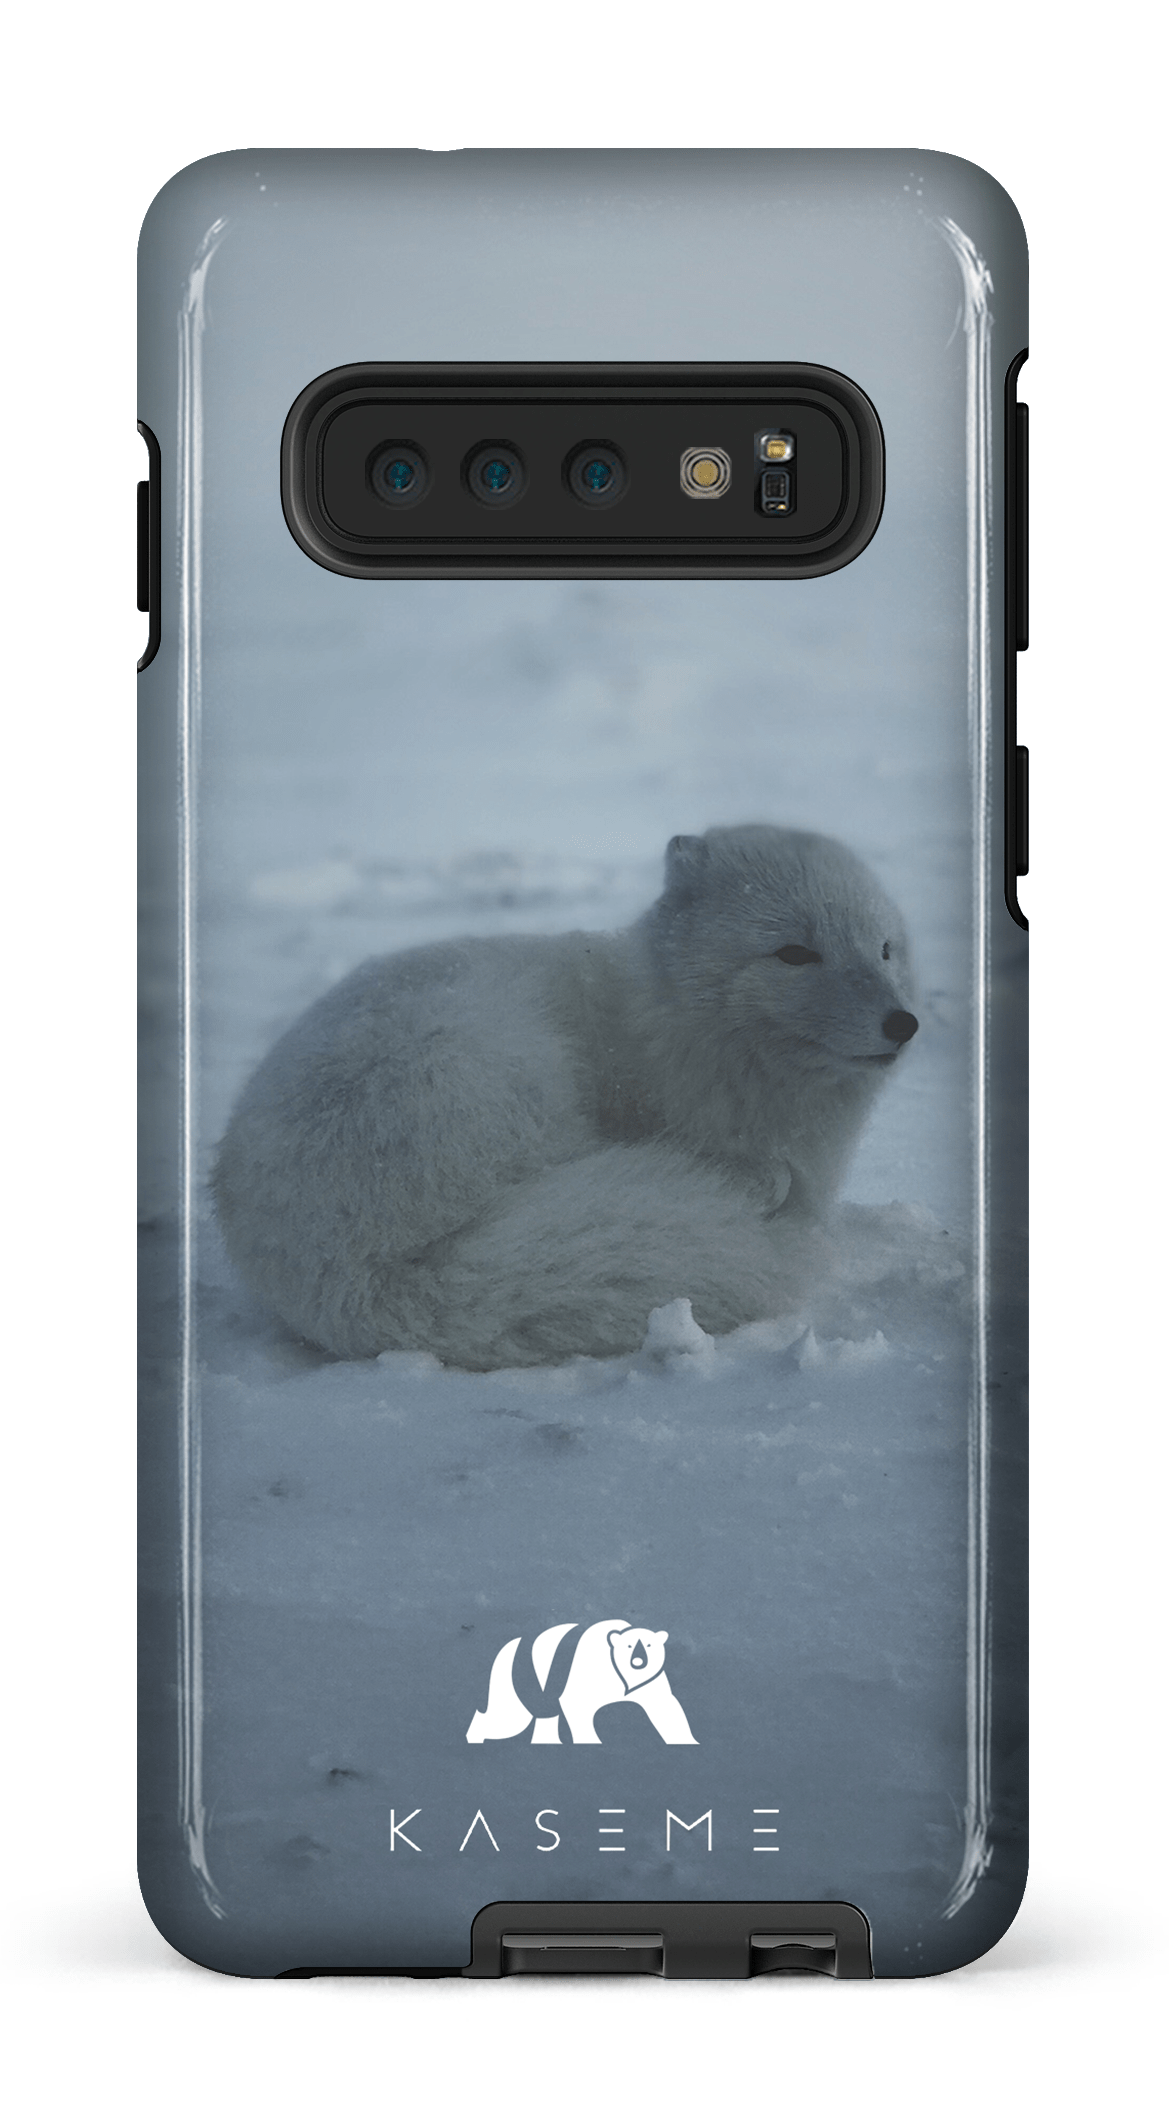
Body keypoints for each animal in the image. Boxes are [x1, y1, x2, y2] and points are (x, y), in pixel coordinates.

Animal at [213, 825, 918, 1369]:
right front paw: (760, 1182)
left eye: (884, 948)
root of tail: (356, 1277)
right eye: (794, 953)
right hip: (495, 1069)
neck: (669, 1025)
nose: (903, 1023)